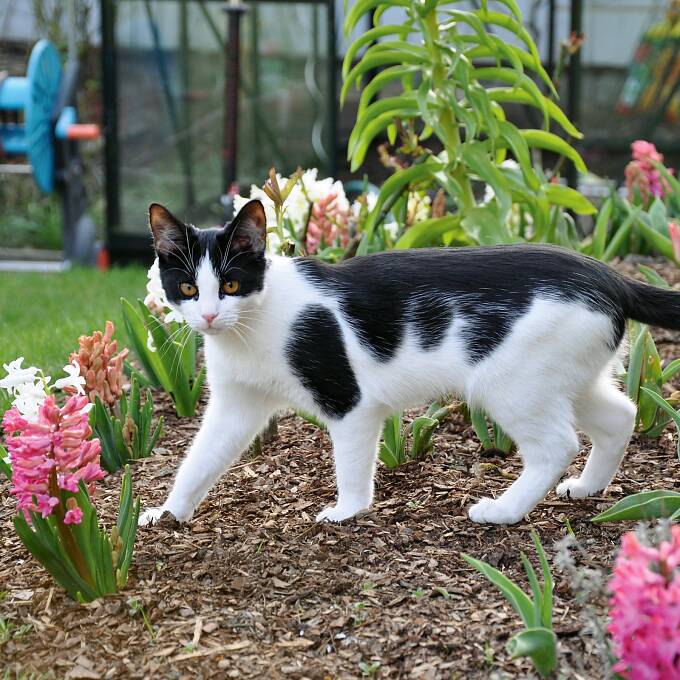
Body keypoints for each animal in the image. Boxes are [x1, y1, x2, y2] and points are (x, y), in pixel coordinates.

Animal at [139, 197, 680, 524]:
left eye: (231, 284)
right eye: (187, 289)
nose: (209, 316)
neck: (253, 326)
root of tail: (609, 276)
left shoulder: (351, 404)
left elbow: (351, 463)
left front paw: (348, 511)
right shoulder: (236, 403)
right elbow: (199, 460)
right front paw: (167, 513)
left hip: (511, 384)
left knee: (556, 445)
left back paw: (502, 511)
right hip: (571, 377)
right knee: (621, 416)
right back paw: (588, 487)